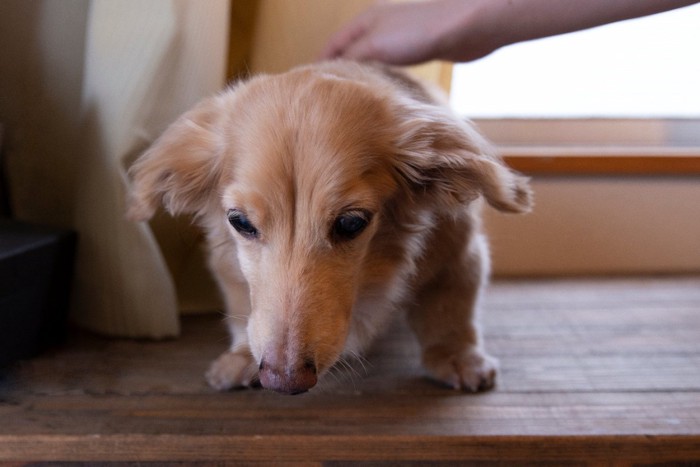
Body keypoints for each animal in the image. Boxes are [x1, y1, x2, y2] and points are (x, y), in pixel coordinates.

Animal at [127, 59, 532, 394]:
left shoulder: (458, 251)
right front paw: (241, 356)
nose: (284, 381)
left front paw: (456, 357)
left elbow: (452, 309)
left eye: (352, 223)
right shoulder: (228, 262)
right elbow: (243, 305)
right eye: (239, 221)